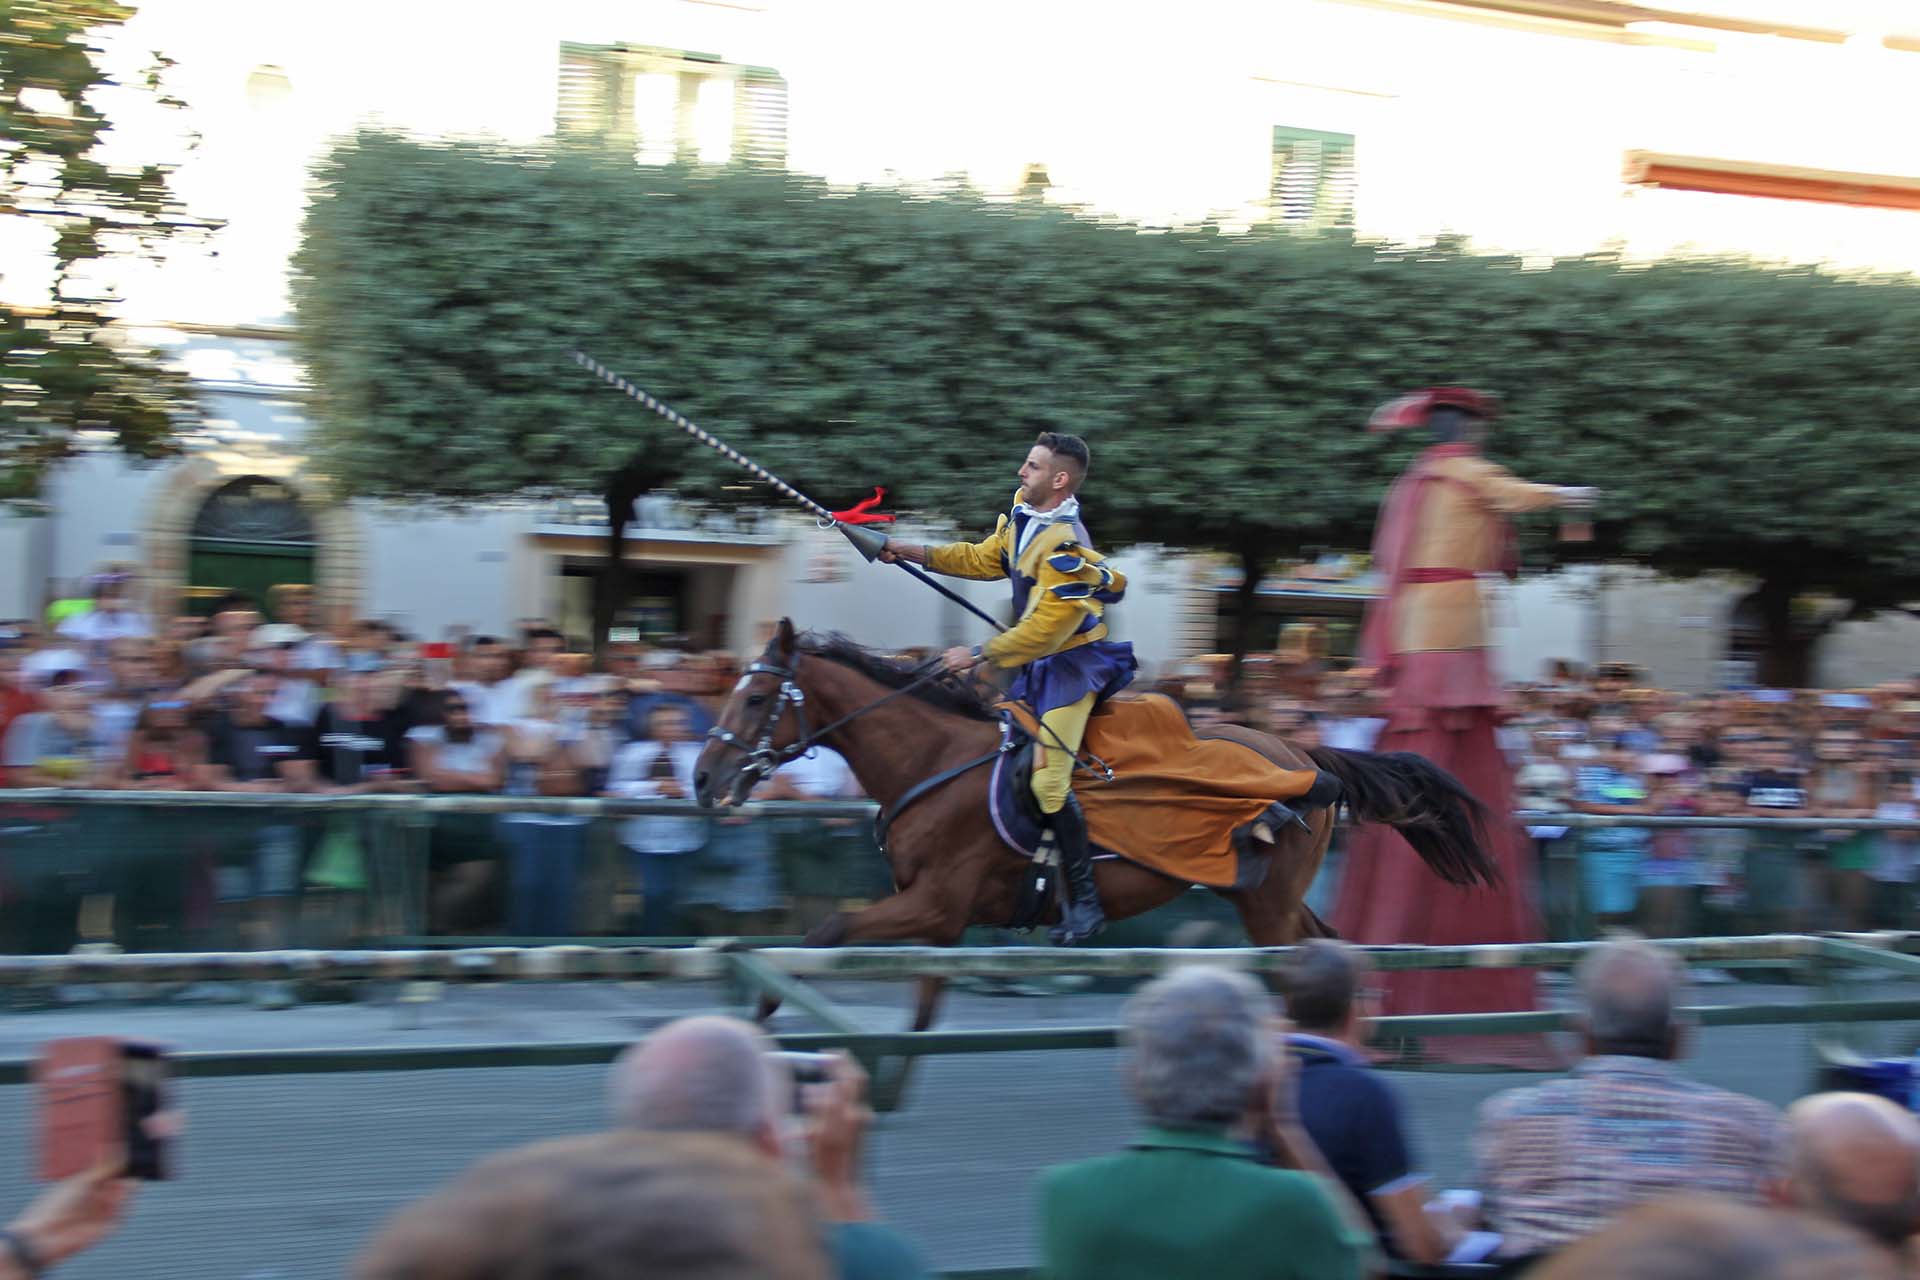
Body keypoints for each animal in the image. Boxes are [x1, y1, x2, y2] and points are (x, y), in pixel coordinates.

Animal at [695, 621, 1497, 1028]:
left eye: (758, 695)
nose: (702, 778)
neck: (936, 760)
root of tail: (1304, 752)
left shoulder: (934, 904)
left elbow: (824, 934)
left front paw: (760, 1012)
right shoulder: (941, 923)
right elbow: (921, 1006)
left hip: (1266, 906)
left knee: (1299, 966)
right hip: (1264, 896)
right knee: (1330, 948)